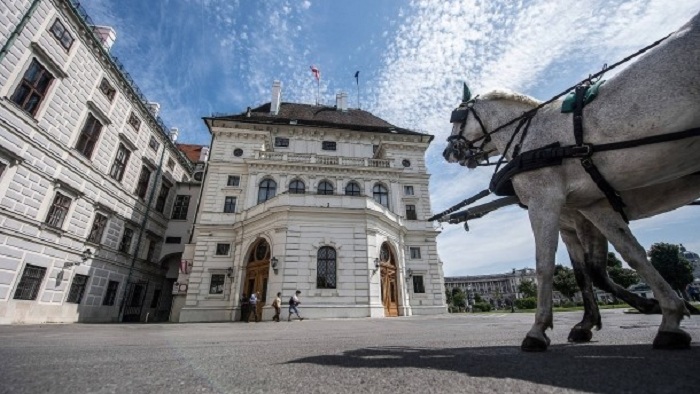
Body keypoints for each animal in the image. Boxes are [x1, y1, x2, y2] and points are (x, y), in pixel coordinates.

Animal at [442, 12, 700, 350]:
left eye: (457, 117)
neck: (535, 137)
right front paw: (658, 311)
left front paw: (538, 329)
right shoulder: (588, 209)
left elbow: (546, 265)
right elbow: (609, 261)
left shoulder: (548, 203)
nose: (448, 152)